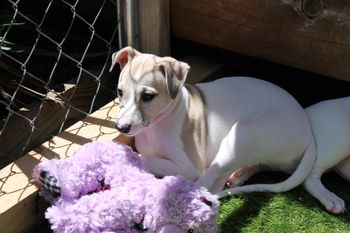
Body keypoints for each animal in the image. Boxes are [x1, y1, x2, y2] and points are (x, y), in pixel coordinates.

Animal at [110, 46, 316, 195]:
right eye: (120, 92)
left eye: (147, 96)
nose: (121, 127)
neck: (154, 127)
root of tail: (307, 127)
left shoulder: (188, 166)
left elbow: (144, 157)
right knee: (259, 164)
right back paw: (238, 175)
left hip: (242, 135)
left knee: (208, 182)